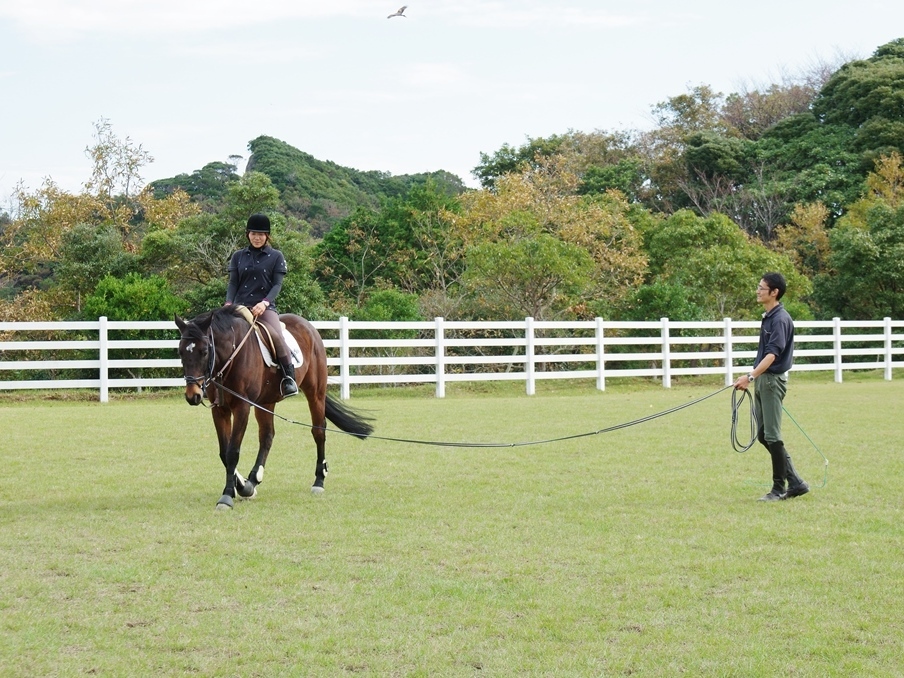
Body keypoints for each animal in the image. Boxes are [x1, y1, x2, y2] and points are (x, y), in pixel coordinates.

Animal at [175, 308, 372, 510]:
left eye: (204, 351)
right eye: (180, 351)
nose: (192, 395)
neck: (231, 355)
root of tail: (308, 326)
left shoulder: (242, 407)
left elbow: (232, 452)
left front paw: (227, 496)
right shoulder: (219, 410)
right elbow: (224, 452)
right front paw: (245, 487)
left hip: (315, 392)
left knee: (318, 431)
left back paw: (318, 481)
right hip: (266, 402)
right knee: (267, 436)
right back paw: (254, 479)